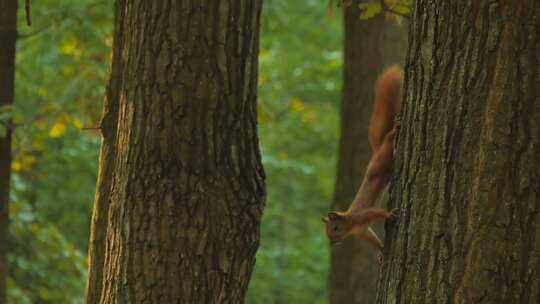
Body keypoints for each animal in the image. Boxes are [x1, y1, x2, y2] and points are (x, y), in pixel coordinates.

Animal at [320, 65, 400, 262]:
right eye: (327, 233)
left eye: (335, 227)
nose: (333, 243)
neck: (350, 222)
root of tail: (376, 152)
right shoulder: (363, 231)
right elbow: (372, 238)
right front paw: (381, 252)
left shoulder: (361, 216)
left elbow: (376, 212)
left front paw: (389, 214)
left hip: (382, 160)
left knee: (389, 140)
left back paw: (395, 128)